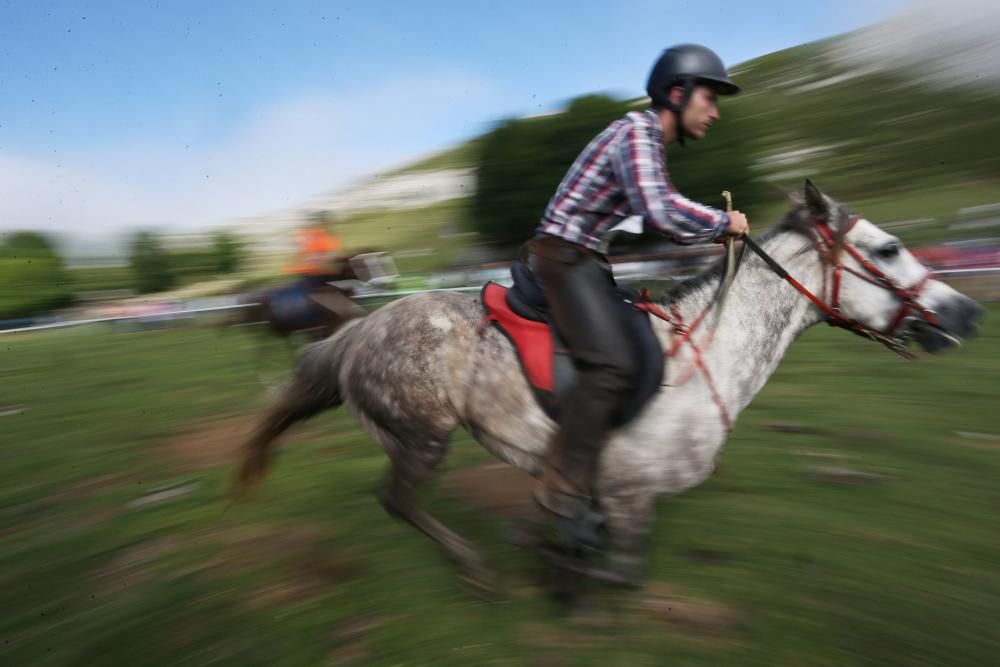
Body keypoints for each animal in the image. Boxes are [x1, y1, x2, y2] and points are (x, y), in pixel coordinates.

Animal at [236, 183, 984, 596]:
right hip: (422, 435)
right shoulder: (629, 492)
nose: (966, 314)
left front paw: (553, 540)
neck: (708, 353)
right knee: (397, 499)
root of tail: (356, 330)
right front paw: (542, 550)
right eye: (887, 250)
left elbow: (592, 540)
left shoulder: (609, 492)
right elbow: (616, 569)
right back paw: (474, 567)